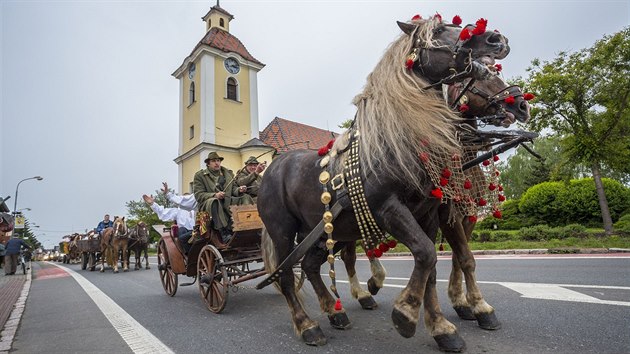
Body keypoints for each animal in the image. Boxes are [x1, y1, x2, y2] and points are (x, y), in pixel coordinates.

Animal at [256, 13, 512, 352]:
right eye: (439, 30)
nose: (496, 39)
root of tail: (271, 168)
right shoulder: (389, 209)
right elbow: (428, 254)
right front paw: (406, 314)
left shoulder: (429, 214)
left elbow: (432, 265)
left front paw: (441, 327)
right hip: (284, 231)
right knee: (286, 276)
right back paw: (308, 325)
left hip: (325, 231)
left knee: (310, 266)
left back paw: (335, 312)